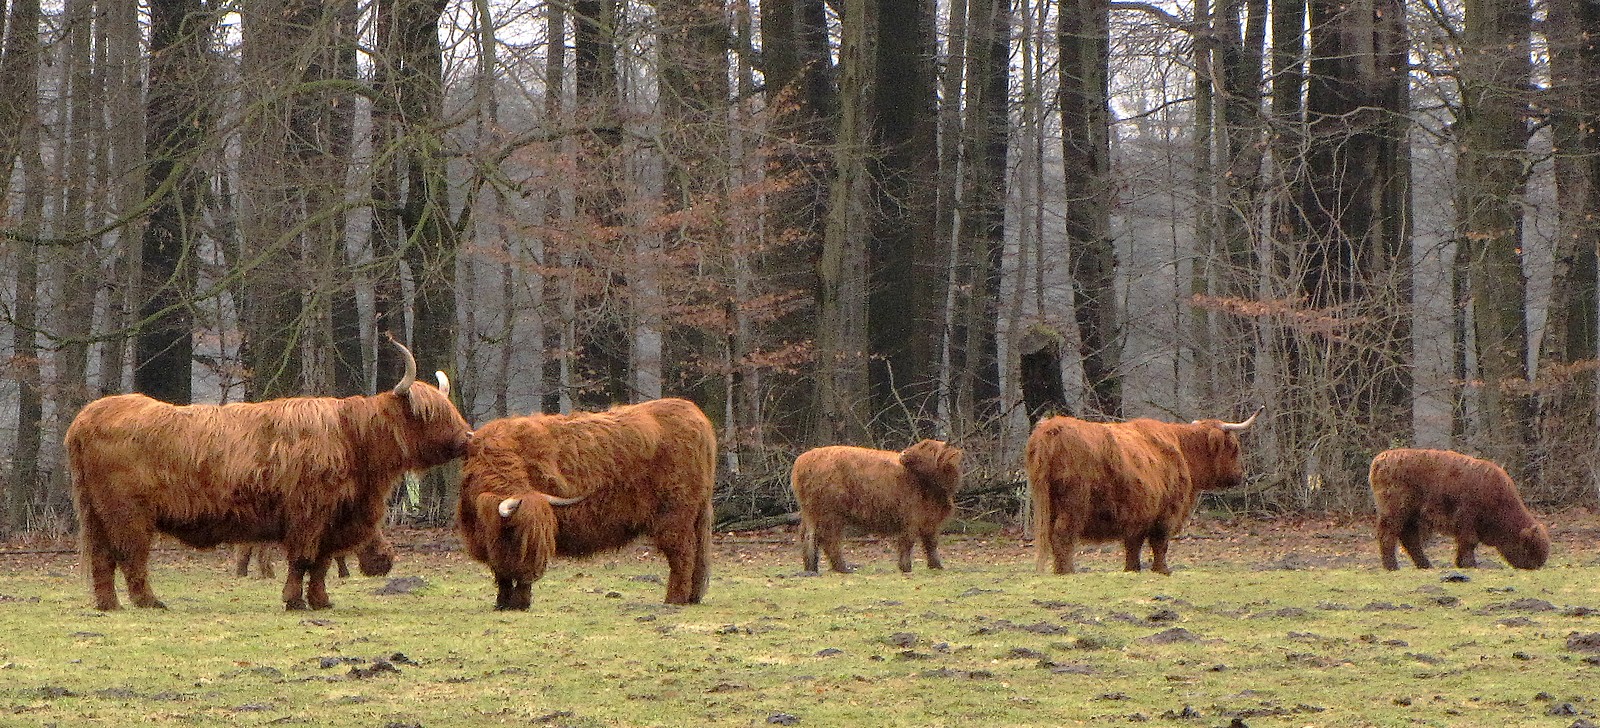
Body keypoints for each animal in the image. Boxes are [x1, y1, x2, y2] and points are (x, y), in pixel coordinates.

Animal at [68, 339, 467, 611]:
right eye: (430, 413)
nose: (467, 438)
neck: (352, 438)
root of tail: (86, 417)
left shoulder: (332, 519)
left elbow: (321, 564)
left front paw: (320, 601)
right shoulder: (308, 514)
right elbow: (303, 560)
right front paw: (294, 601)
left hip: (95, 512)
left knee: (102, 558)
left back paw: (110, 605)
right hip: (127, 514)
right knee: (130, 555)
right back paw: (149, 602)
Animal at [460, 398, 716, 611]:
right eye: (516, 534)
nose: (533, 574)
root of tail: (693, 413)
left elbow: (505, 569)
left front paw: (516, 601)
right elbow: (502, 572)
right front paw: (503, 603)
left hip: (674, 515)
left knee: (682, 553)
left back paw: (674, 599)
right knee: (697, 554)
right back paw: (693, 597)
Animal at [787, 438, 960, 576]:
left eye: (928, 447)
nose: (903, 453)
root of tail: (802, 461)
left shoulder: (930, 521)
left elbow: (931, 544)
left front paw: (936, 566)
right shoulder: (911, 517)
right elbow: (908, 542)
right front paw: (906, 567)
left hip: (811, 512)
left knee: (808, 537)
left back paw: (811, 568)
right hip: (830, 513)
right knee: (829, 539)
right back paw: (842, 568)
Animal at [1024, 409, 1260, 576]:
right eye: (1234, 447)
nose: (1240, 475)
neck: (1182, 451)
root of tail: (1051, 428)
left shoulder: (1138, 515)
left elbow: (1133, 546)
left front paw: (1132, 569)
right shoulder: (1166, 512)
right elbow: (1160, 543)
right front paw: (1162, 570)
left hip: (1048, 505)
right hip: (1073, 504)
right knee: (1062, 535)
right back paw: (1067, 572)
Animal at [1363, 448, 1548, 572]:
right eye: (1529, 548)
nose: (1535, 566)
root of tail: (1380, 460)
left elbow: (1465, 543)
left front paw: (1461, 563)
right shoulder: (1467, 519)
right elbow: (1469, 541)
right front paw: (1470, 564)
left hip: (1411, 516)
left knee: (1409, 538)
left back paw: (1425, 565)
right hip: (1395, 513)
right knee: (1389, 535)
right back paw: (1393, 567)